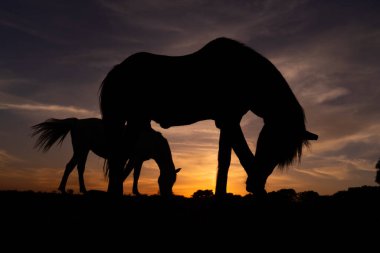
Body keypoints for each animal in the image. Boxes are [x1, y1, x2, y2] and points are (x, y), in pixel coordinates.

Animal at [30, 118, 180, 196]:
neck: (152, 141)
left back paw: (77, 189)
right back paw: (67, 189)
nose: (167, 195)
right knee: (73, 167)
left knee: (77, 167)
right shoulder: (134, 159)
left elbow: (135, 175)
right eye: (168, 180)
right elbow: (126, 174)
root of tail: (77, 122)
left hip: (83, 150)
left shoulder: (139, 160)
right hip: (81, 149)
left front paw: (136, 192)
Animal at [98, 37, 318, 196]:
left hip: (134, 121)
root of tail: (117, 70)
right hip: (133, 120)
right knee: (118, 158)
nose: (252, 184)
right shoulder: (230, 120)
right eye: (274, 143)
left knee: (118, 158)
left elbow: (225, 159)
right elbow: (241, 157)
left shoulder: (226, 122)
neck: (246, 74)